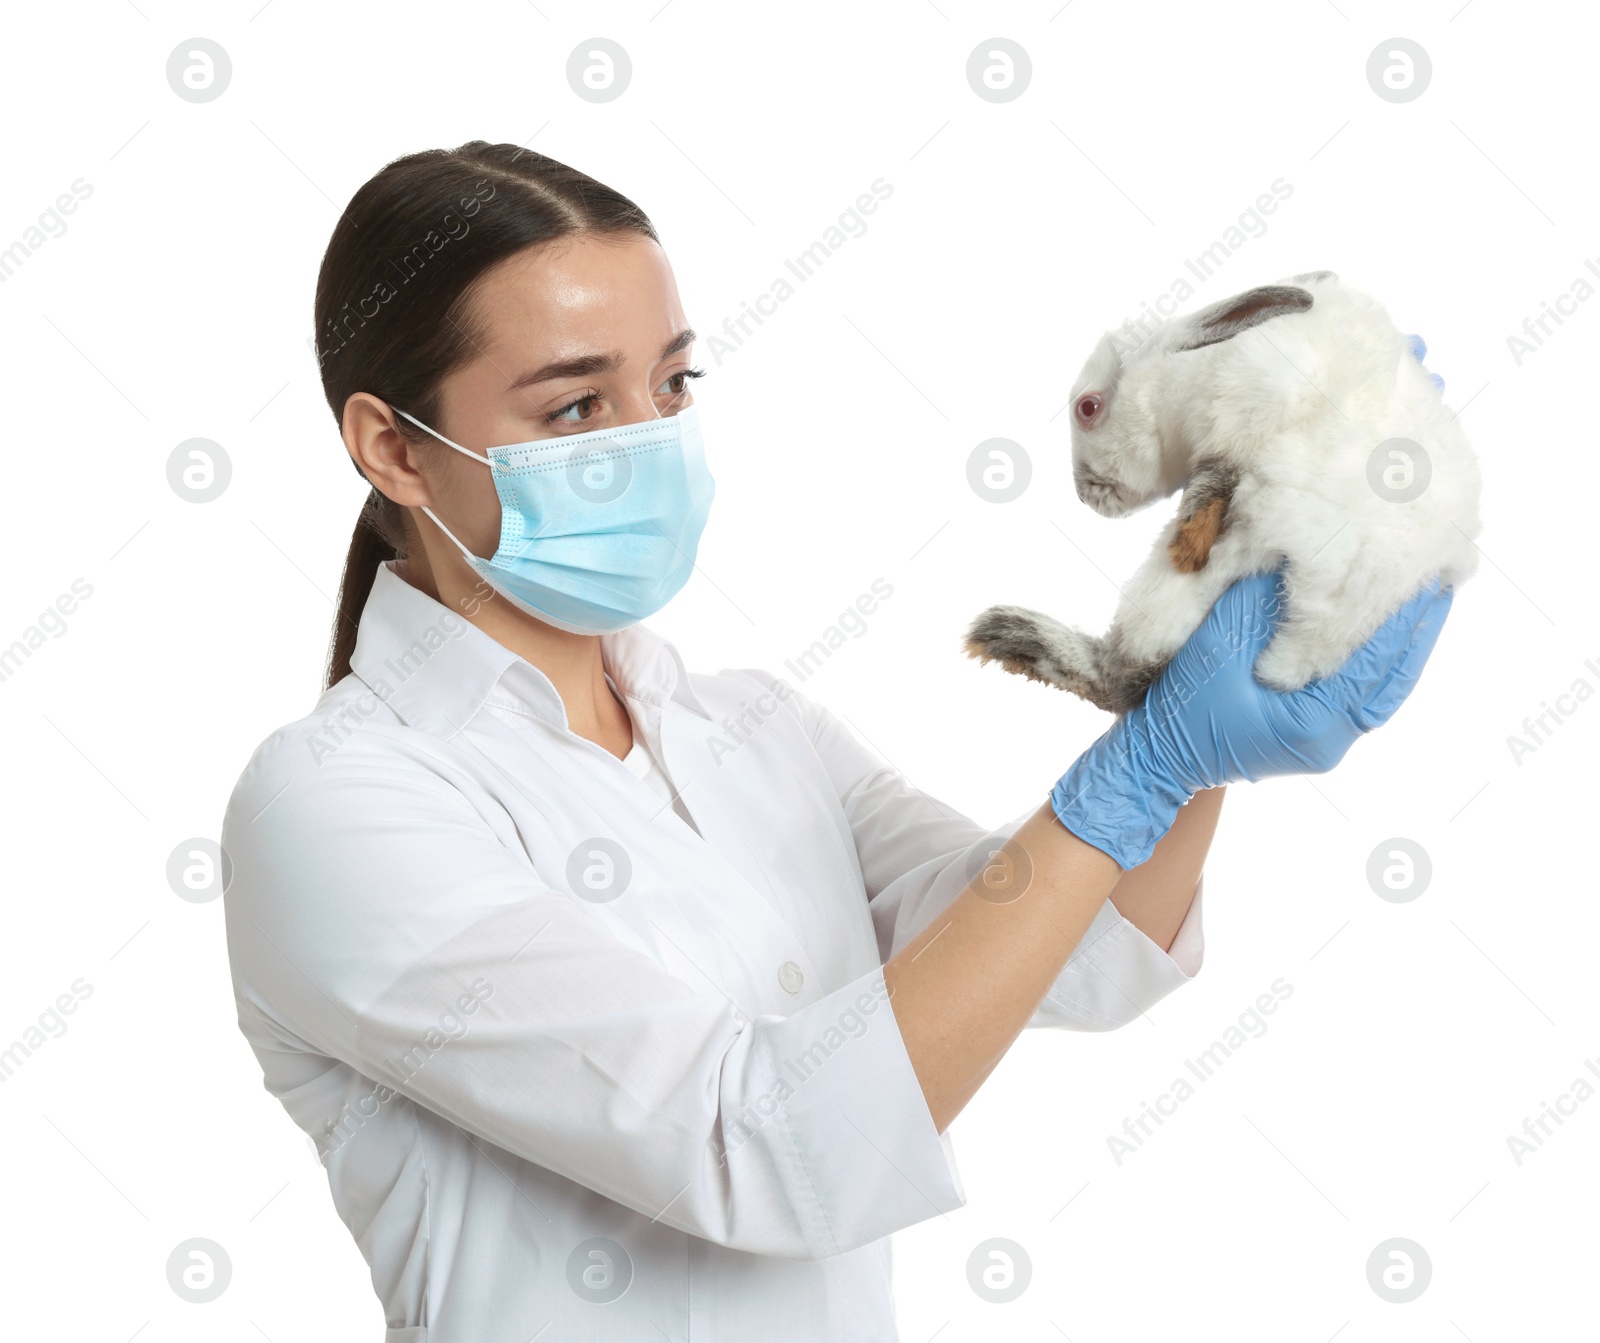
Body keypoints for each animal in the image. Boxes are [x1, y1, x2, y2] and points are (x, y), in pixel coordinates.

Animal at [953, 267, 1478, 720]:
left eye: (1087, 407)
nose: (1085, 496)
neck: (1185, 374)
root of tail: (1307, 652)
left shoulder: (1259, 408)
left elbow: (1216, 479)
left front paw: (1186, 543)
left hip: (1190, 589)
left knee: (1119, 682)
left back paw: (1009, 635)